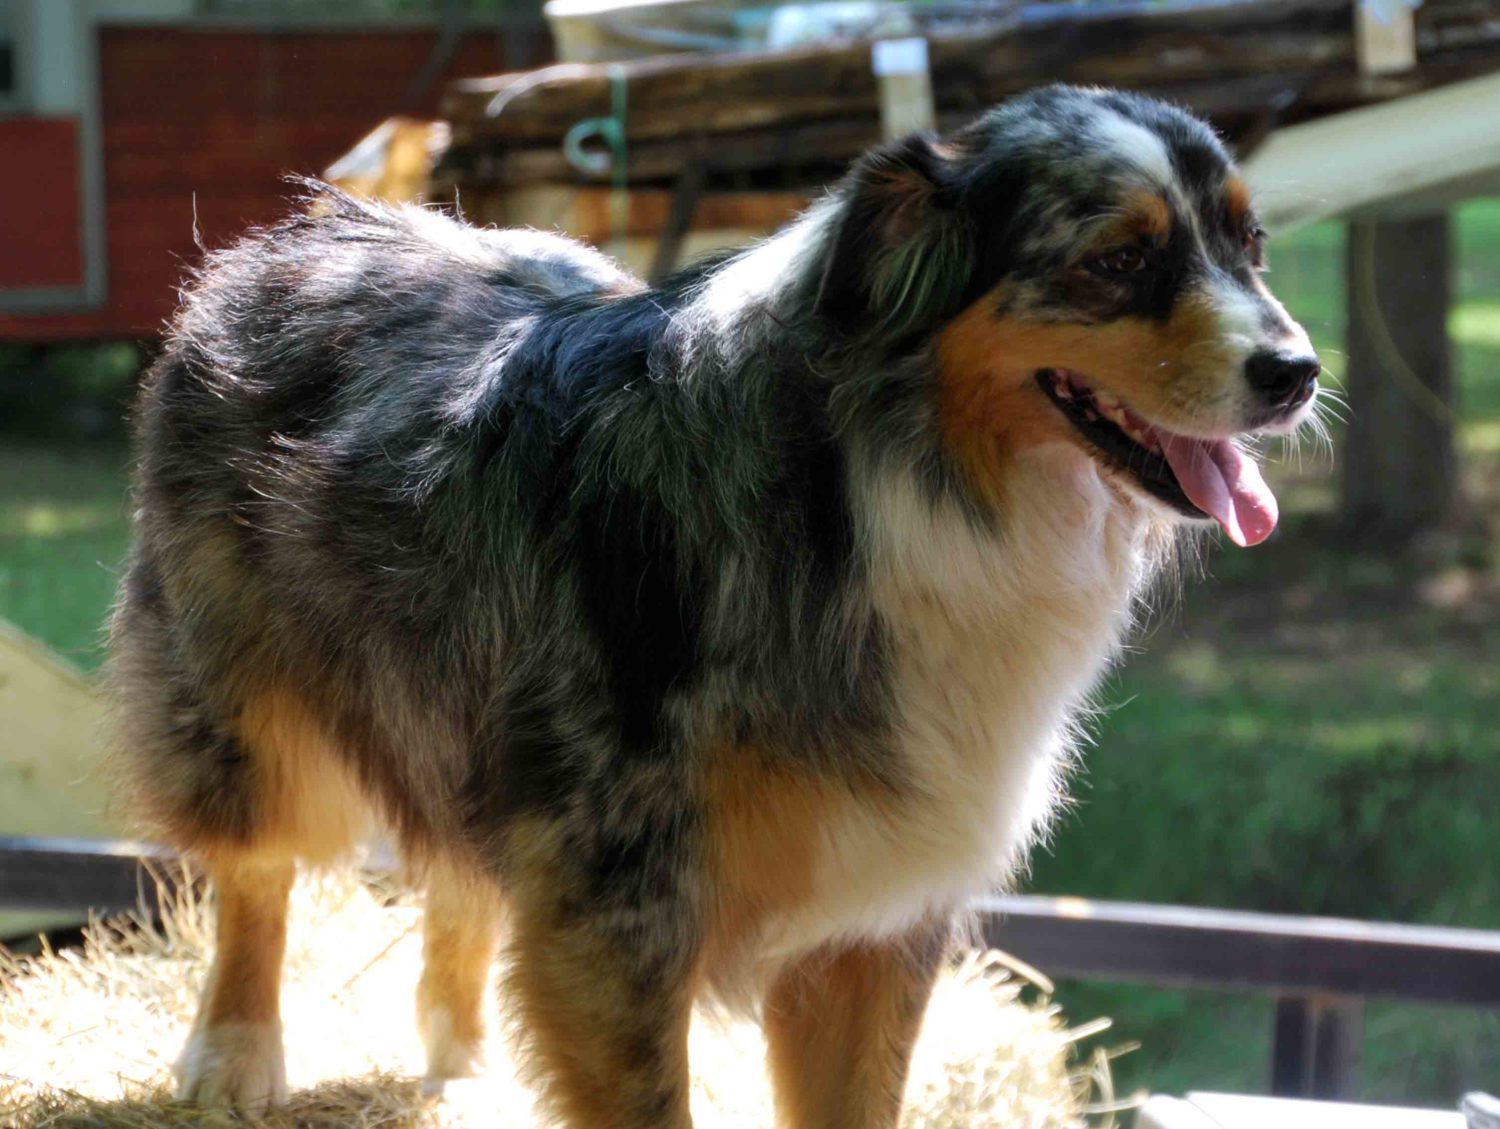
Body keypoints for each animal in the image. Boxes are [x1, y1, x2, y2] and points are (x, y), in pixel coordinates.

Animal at [108, 85, 1318, 1127]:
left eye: (1250, 245)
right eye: (1118, 260)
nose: (1297, 371)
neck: (877, 481)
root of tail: (312, 229)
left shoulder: (869, 921)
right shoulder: (617, 907)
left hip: (464, 716)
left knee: (459, 880)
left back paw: (463, 1066)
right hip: (240, 701)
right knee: (258, 868)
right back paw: (236, 1053)